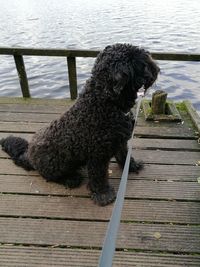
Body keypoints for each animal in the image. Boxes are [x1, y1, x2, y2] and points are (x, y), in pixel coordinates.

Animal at [0, 44, 159, 207]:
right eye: (142, 60)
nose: (156, 68)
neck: (106, 102)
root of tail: (28, 155)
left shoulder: (120, 141)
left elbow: (124, 155)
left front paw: (132, 166)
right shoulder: (97, 155)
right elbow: (98, 176)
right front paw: (103, 194)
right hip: (56, 164)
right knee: (51, 176)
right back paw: (70, 178)